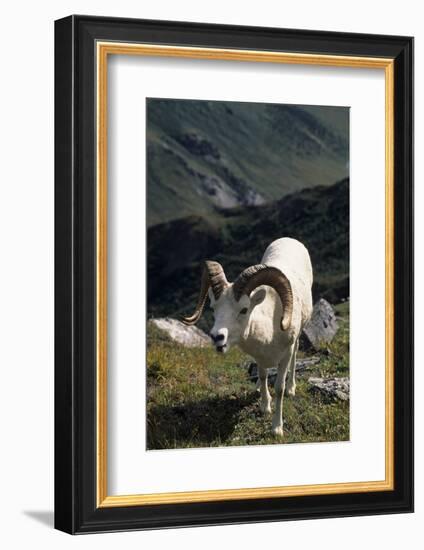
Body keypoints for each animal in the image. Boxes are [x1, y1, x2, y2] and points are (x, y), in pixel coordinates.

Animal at [181, 237, 314, 440]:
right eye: (213, 307)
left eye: (244, 309)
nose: (217, 337)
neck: (270, 327)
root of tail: (289, 240)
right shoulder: (259, 357)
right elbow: (263, 375)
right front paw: (265, 406)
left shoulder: (284, 355)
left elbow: (279, 388)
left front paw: (277, 429)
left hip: (296, 340)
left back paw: (292, 388)